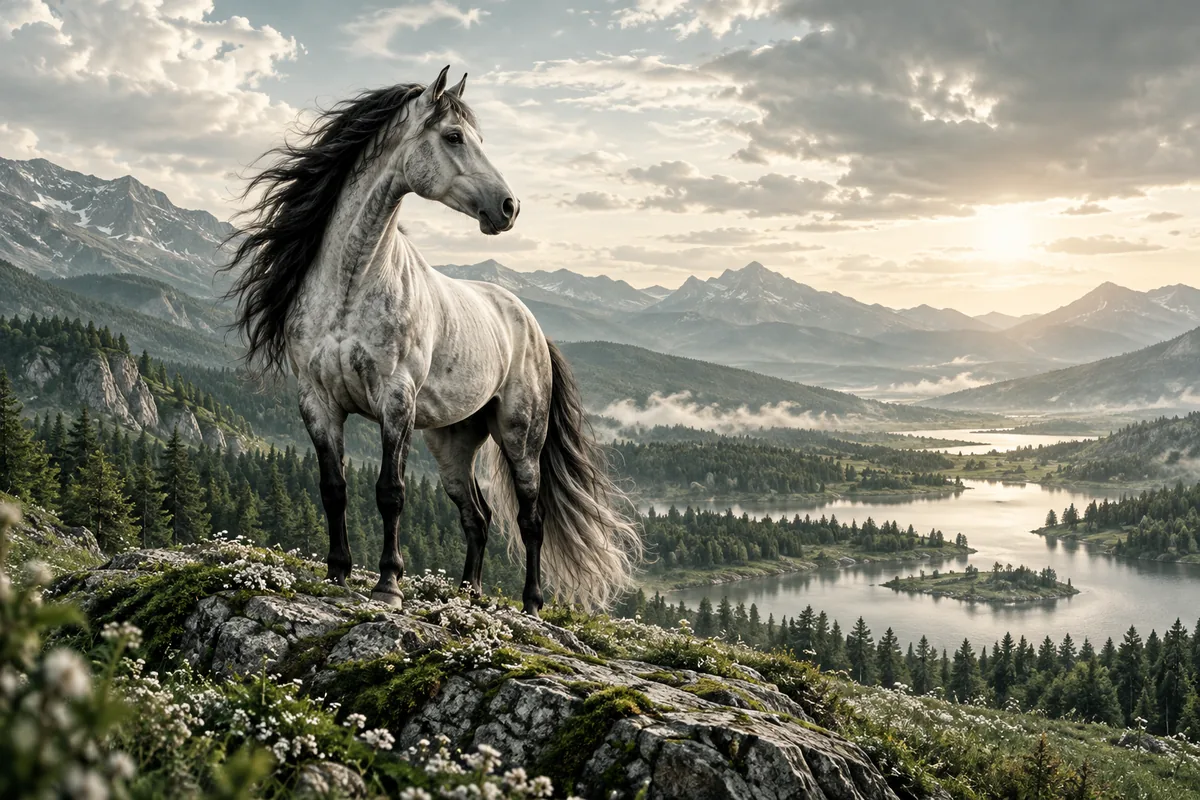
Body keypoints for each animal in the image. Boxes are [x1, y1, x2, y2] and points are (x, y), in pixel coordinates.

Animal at [224, 66, 641, 615]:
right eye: (454, 136)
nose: (509, 208)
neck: (352, 284)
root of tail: (530, 325)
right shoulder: (317, 401)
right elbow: (333, 488)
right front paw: (337, 573)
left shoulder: (395, 400)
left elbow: (390, 491)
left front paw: (388, 584)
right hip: (452, 443)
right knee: (477, 517)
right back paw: (468, 596)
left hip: (519, 436)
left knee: (530, 519)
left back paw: (531, 602)